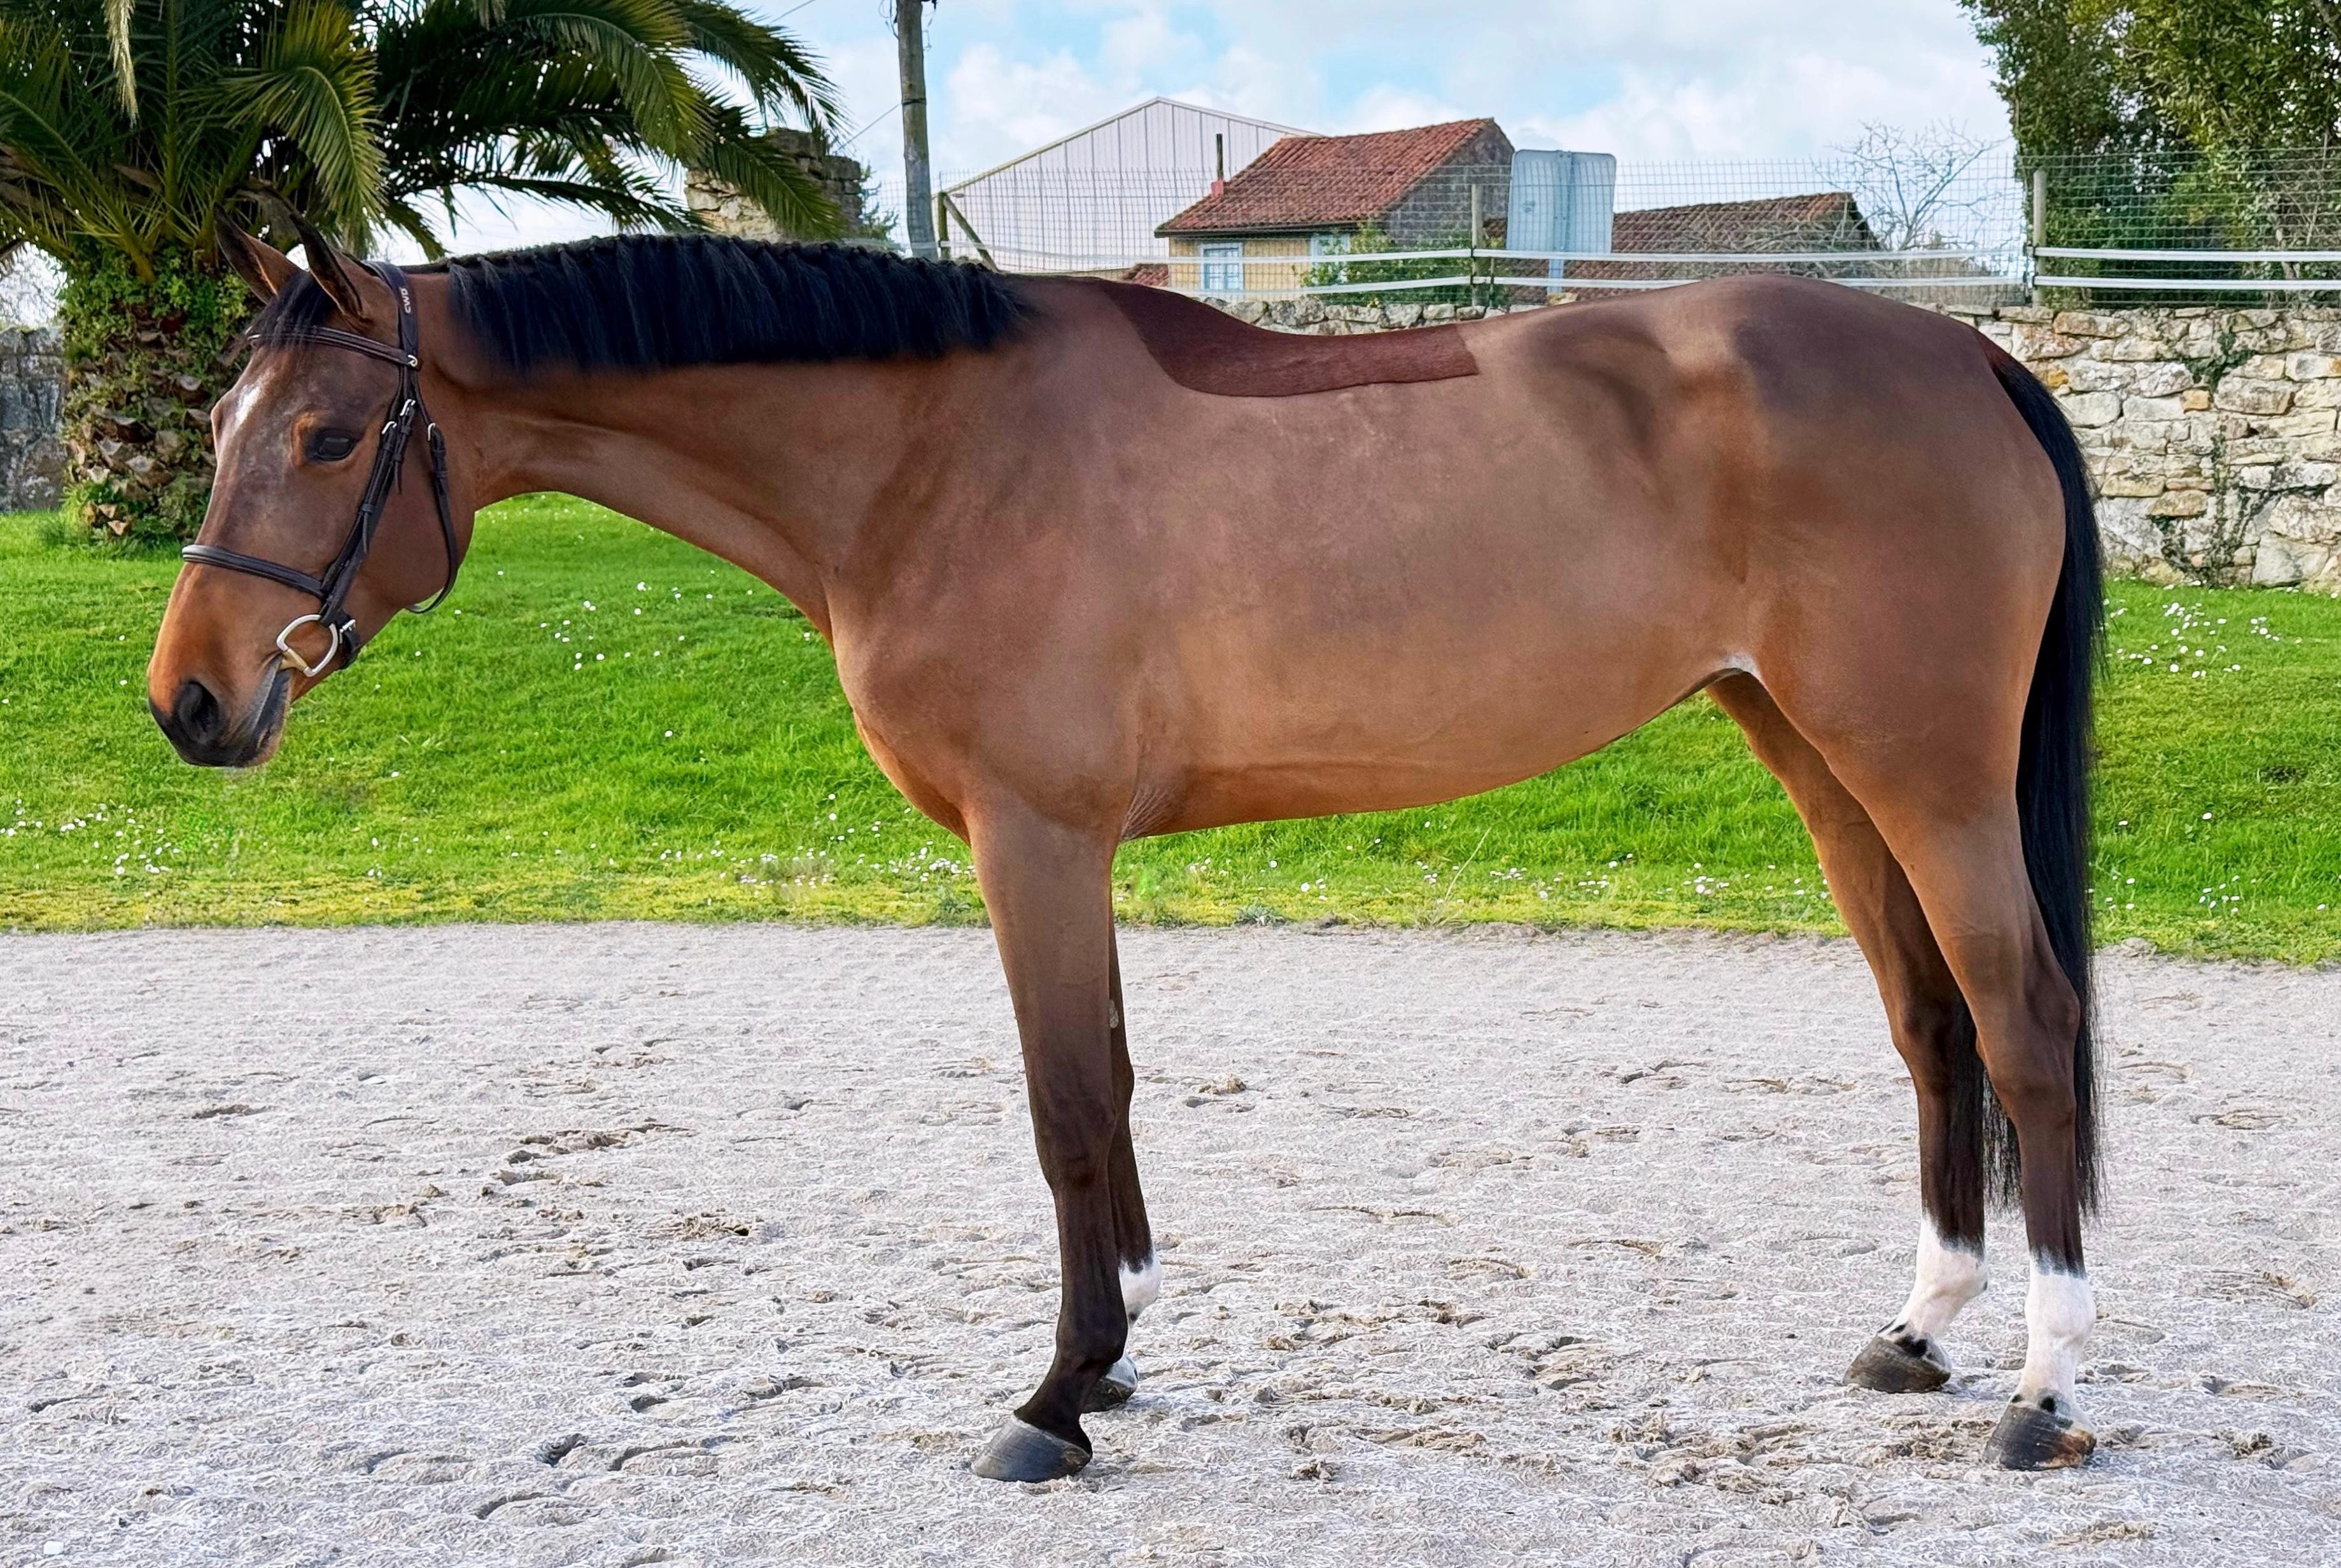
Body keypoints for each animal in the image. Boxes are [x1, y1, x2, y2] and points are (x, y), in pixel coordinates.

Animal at [148, 221, 2107, 1481]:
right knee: (1928, 1025)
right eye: (225, 428)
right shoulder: (1057, 847)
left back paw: (2039, 1389)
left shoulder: (1034, 837)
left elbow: (1066, 1098)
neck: (931, 452)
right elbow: (1111, 1082)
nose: (190, 701)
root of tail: (1969, 349)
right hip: (1816, 754)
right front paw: (1120, 1358)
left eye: (330, 433)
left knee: (2022, 1022)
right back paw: (1922, 1332)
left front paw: (1057, 1395)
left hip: (1919, 771)